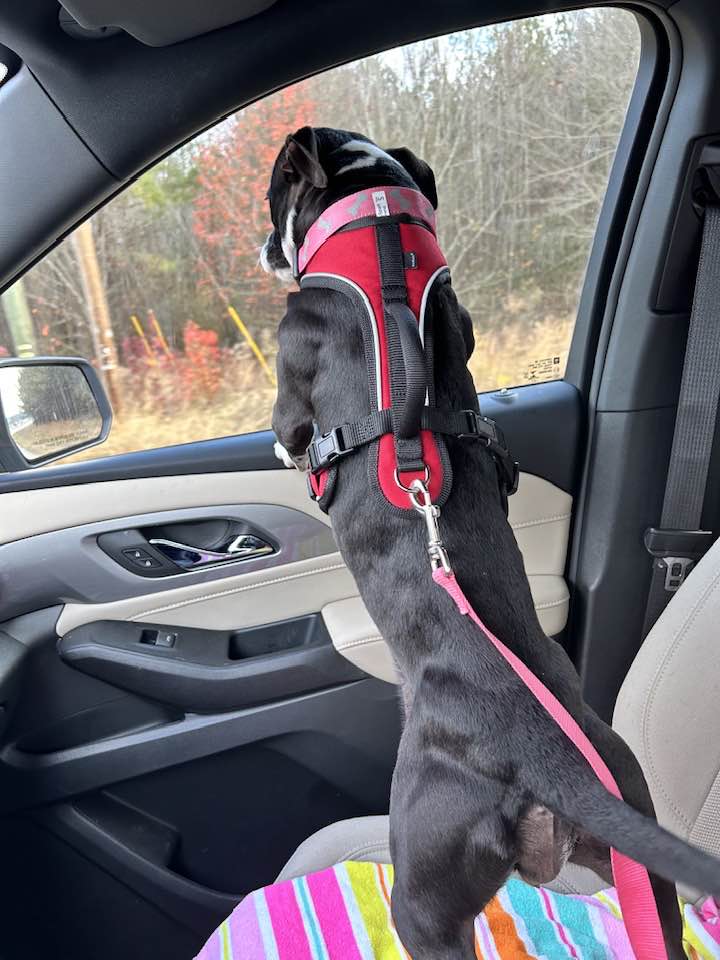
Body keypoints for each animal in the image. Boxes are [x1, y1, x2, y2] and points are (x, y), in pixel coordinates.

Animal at [264, 127, 720, 960]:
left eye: (274, 192)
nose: (263, 248)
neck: (378, 231)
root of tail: (543, 761)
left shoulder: (294, 358)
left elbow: (288, 429)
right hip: (644, 860)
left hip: (424, 884)